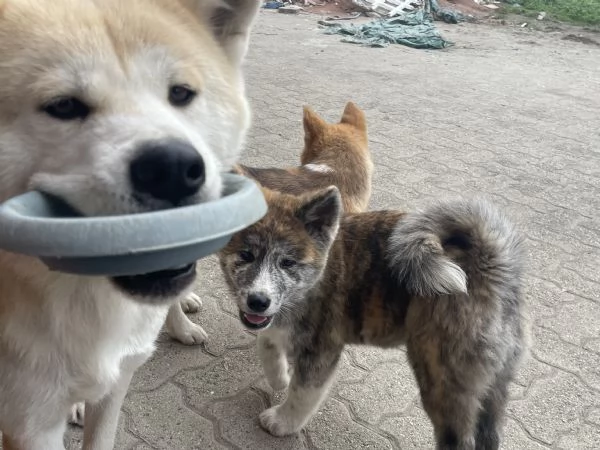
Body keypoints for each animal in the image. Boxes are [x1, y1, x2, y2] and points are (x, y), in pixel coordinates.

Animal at [219, 187, 524, 450]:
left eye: (287, 263)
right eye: (246, 255)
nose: (258, 301)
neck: (317, 275)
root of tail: (489, 265)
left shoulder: (321, 349)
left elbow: (302, 394)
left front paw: (282, 422)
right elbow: (267, 342)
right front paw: (278, 377)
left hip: (441, 374)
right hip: (490, 382)